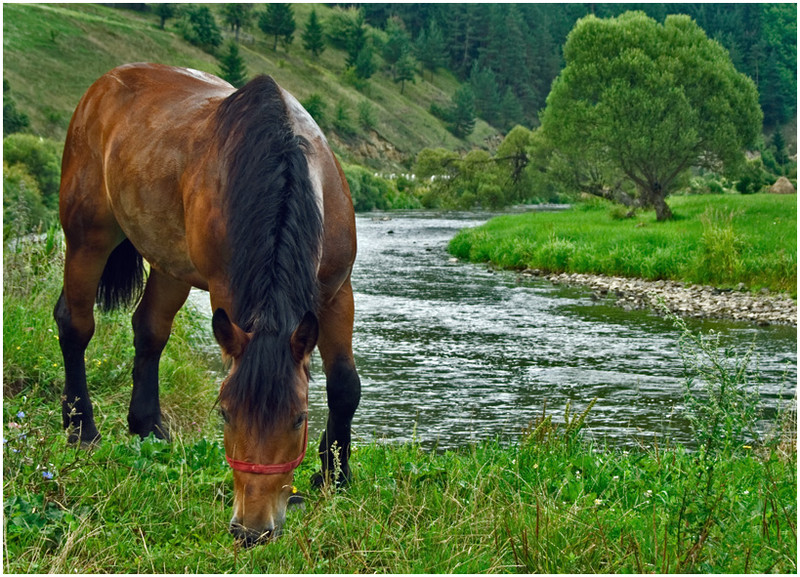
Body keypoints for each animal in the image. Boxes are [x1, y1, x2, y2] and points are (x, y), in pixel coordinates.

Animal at [57, 64, 366, 544]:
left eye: (299, 418)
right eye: (224, 414)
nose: (253, 529)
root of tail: (103, 85)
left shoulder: (336, 293)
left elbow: (345, 386)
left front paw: (335, 475)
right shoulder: (229, 293)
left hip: (169, 265)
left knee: (149, 330)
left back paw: (149, 428)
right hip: (87, 238)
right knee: (75, 324)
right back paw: (81, 429)